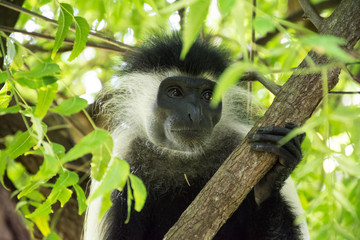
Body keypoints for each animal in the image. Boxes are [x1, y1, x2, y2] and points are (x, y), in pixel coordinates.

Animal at [83, 32, 308, 240]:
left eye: (207, 95)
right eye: (175, 92)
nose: (196, 115)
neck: (183, 158)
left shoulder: (241, 137)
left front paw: (271, 177)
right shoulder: (120, 164)